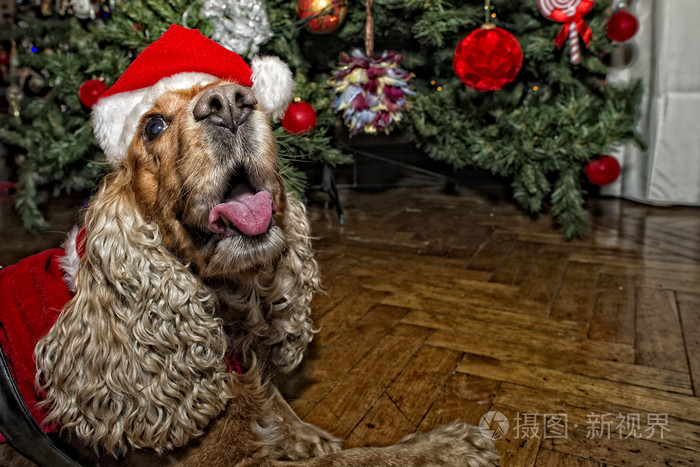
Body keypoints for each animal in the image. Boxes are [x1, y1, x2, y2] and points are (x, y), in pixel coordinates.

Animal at [0, 26, 498, 467]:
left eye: (243, 94)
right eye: (154, 126)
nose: (229, 104)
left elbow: (282, 409)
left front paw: (305, 435)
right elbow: (354, 460)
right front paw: (445, 448)